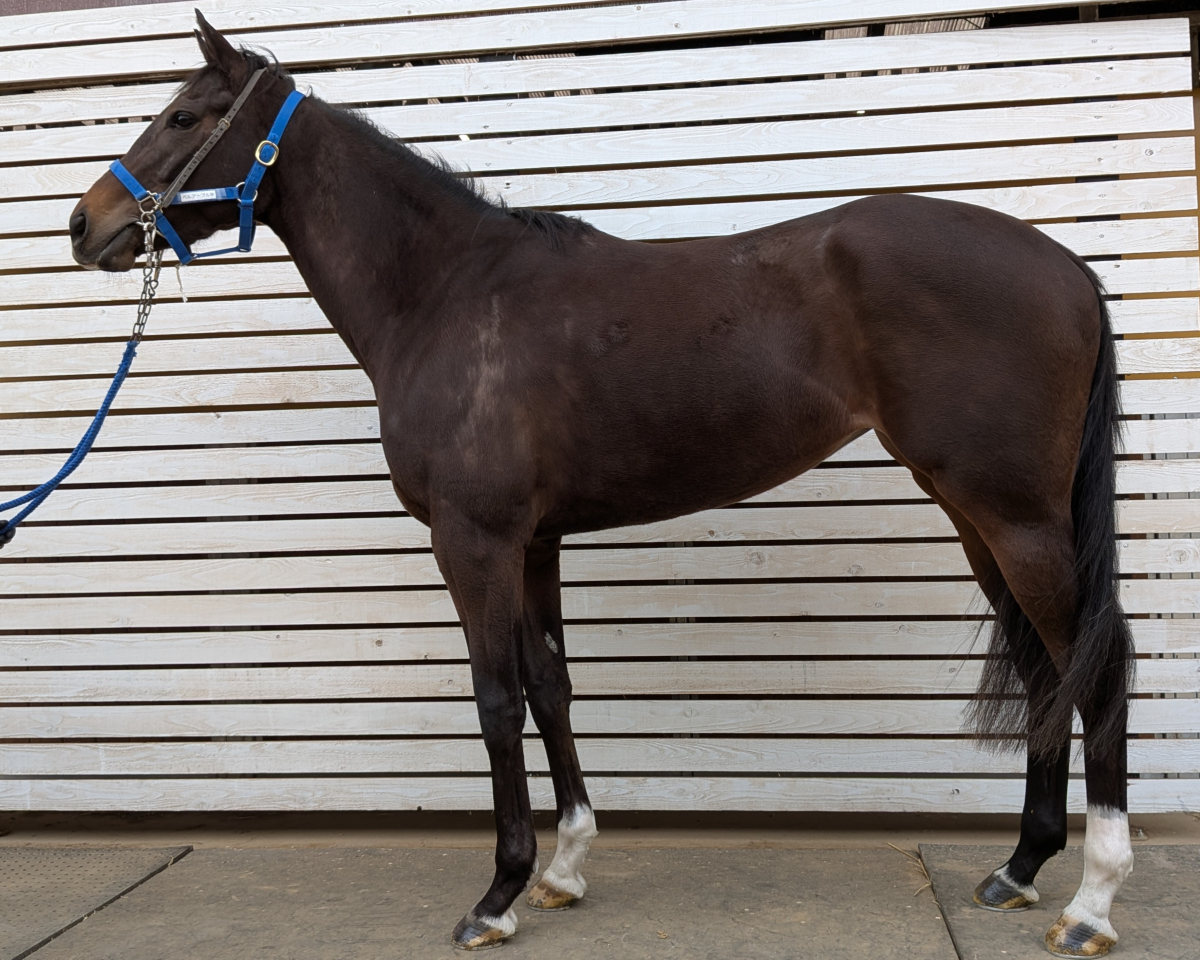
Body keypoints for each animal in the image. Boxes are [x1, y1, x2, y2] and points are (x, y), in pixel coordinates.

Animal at [70, 14, 1135, 956]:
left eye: (180, 116)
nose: (86, 225)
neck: (449, 295)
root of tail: (1069, 269)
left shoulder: (474, 540)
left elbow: (496, 697)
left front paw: (496, 894)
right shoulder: (534, 541)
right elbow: (551, 686)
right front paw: (564, 868)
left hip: (1015, 515)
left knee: (1096, 664)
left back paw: (1092, 904)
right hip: (978, 515)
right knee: (1046, 667)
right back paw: (1021, 866)